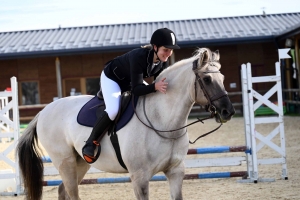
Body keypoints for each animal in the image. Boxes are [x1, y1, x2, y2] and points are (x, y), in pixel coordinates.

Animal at [17, 48, 236, 200]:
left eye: (223, 77)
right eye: (206, 79)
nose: (228, 111)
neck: (163, 121)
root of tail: (43, 112)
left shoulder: (175, 172)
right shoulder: (139, 177)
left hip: (80, 163)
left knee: (64, 191)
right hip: (65, 162)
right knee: (71, 192)